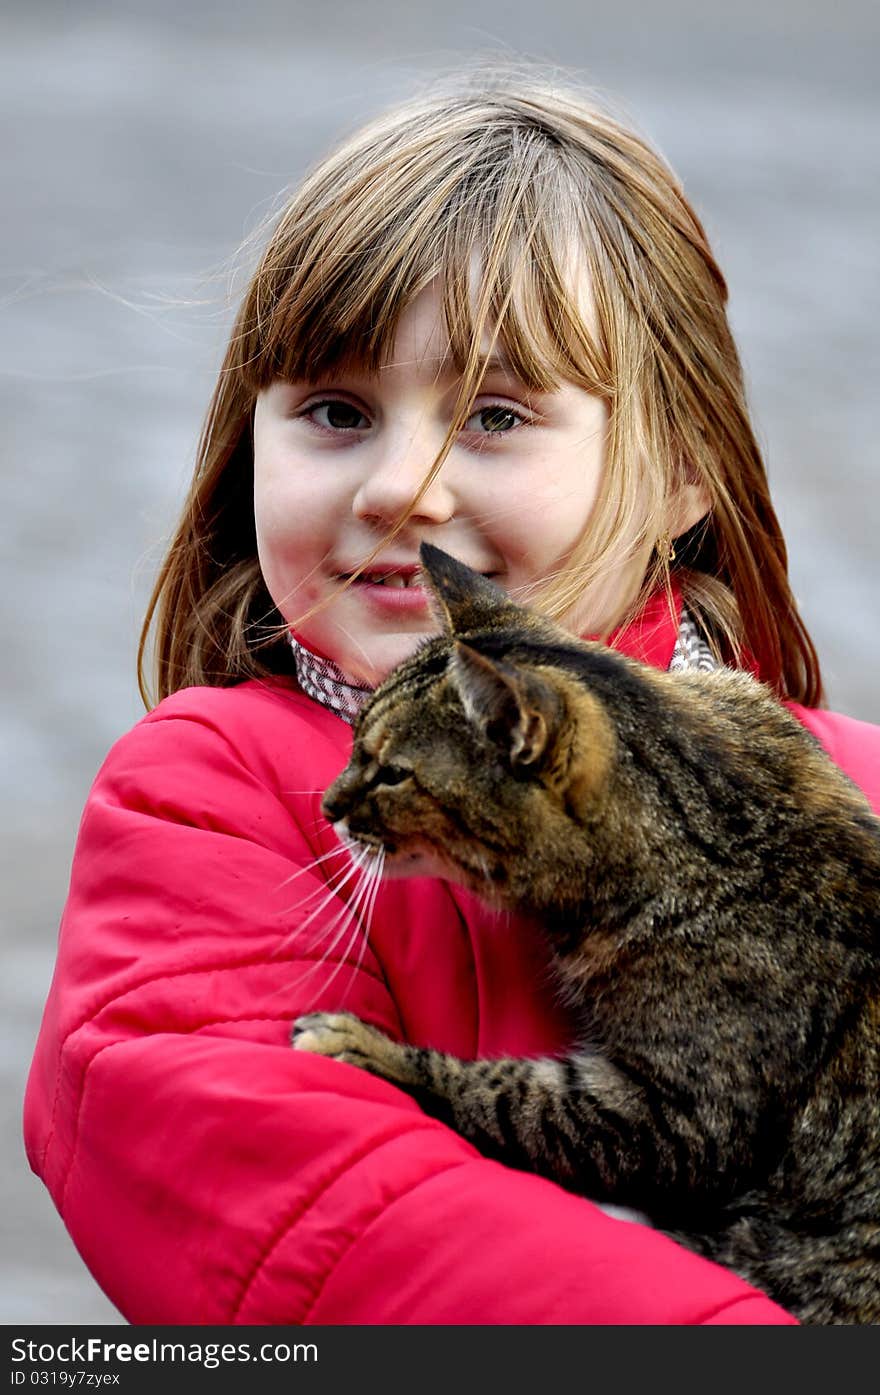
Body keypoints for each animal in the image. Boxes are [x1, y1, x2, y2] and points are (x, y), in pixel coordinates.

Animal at [292, 538, 875, 1322]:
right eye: (356, 744)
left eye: (391, 774)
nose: (327, 804)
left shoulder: (681, 1115)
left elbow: (509, 1095)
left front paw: (367, 1047)